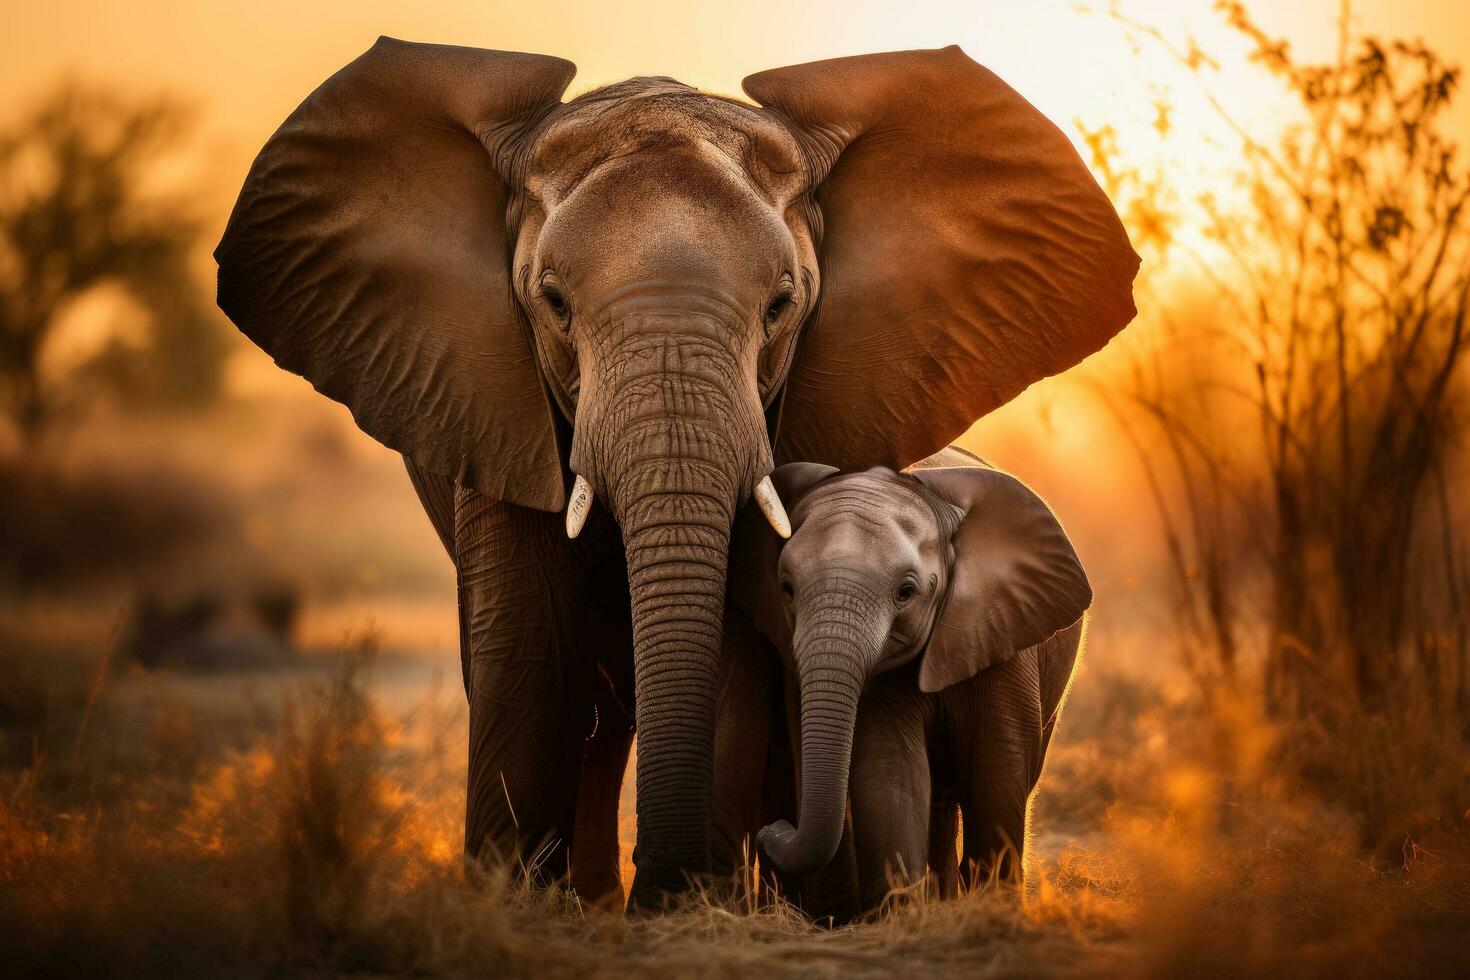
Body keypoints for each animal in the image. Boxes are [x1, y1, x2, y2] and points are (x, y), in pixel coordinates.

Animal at [726, 452, 1087, 910]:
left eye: (905, 592)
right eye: (786, 589)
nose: (772, 831)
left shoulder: (1003, 634)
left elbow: (996, 770)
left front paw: (992, 909)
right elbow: (891, 769)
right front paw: (904, 912)